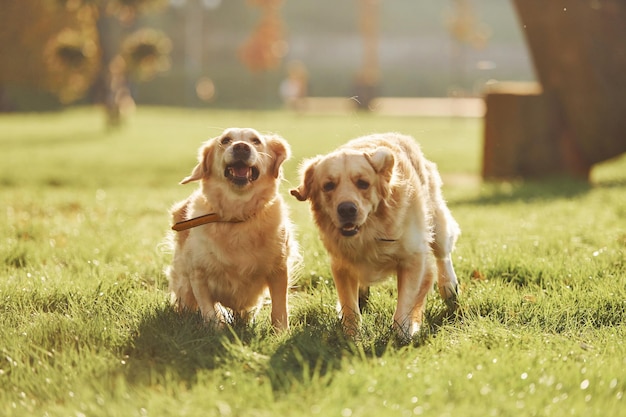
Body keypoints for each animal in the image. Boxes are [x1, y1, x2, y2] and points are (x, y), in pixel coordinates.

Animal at [166, 128, 298, 330]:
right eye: (225, 140)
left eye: (256, 141)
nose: (241, 147)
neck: (237, 215)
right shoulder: (198, 274)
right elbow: (209, 311)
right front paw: (216, 330)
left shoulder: (279, 269)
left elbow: (279, 308)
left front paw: (280, 332)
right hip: (184, 285)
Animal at [292, 132, 458, 338]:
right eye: (328, 185)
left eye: (363, 183)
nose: (347, 210)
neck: (370, 233)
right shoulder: (341, 265)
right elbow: (350, 307)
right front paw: (351, 336)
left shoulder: (414, 259)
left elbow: (406, 302)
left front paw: (404, 334)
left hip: (436, 223)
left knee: (443, 254)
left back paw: (449, 286)